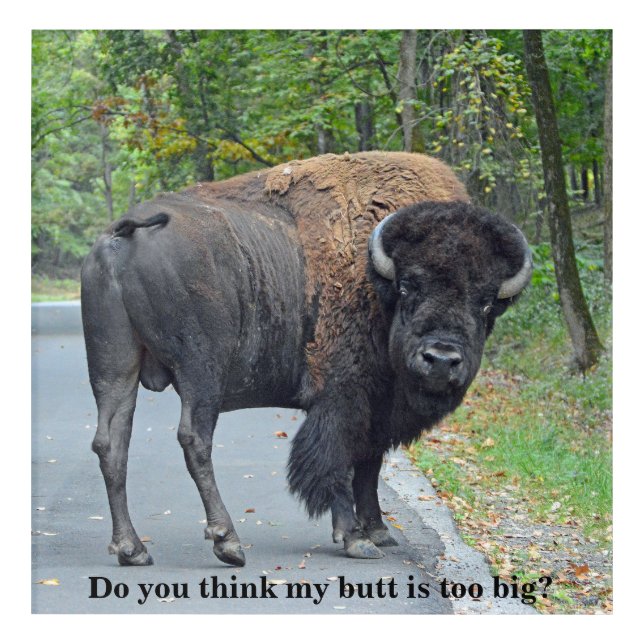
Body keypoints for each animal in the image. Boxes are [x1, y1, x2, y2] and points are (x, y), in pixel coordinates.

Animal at [81, 152, 531, 566]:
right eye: (407, 287)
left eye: (486, 302)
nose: (440, 359)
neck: (375, 280)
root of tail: (124, 234)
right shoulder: (342, 398)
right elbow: (337, 461)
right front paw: (355, 539)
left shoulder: (377, 410)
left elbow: (369, 465)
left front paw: (380, 532)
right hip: (201, 371)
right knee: (194, 440)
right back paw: (228, 543)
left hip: (114, 367)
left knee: (111, 443)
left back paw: (132, 549)